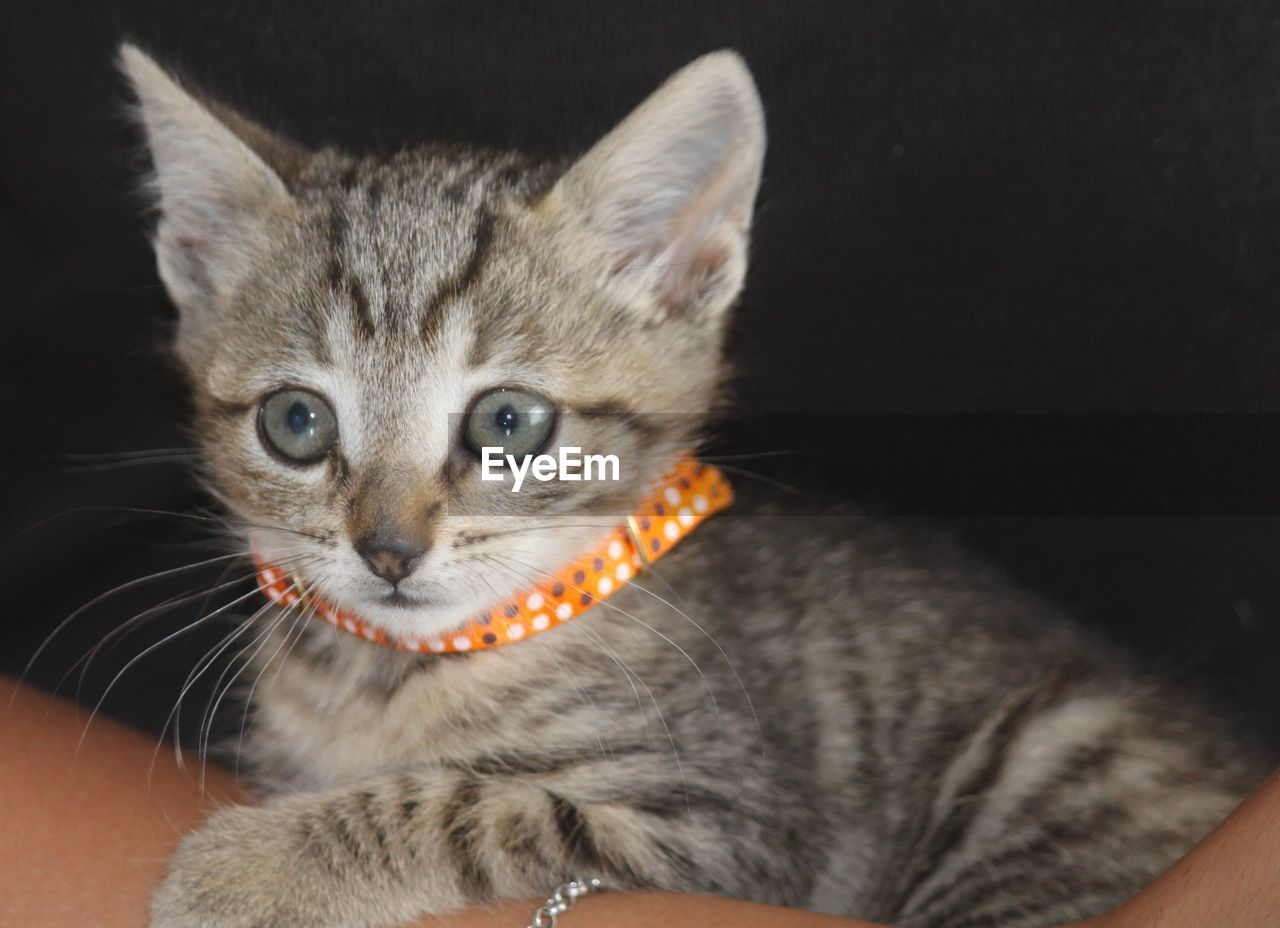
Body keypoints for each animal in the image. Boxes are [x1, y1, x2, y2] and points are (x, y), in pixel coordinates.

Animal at [122, 43, 1269, 926]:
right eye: (296, 424)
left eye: (508, 423)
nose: (388, 549)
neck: (400, 668)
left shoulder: (723, 826)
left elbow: (471, 804)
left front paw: (247, 867)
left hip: (1045, 764)